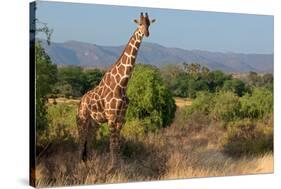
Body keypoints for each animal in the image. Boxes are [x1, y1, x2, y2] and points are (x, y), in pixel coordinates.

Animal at [76, 12, 155, 170]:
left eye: (149, 24)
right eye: (140, 24)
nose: (146, 33)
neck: (122, 84)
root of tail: (81, 101)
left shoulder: (121, 118)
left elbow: (117, 144)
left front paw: (120, 166)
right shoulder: (111, 116)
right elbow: (112, 144)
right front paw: (112, 168)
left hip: (94, 123)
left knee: (89, 141)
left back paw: (90, 162)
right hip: (82, 119)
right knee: (81, 141)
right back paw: (80, 164)